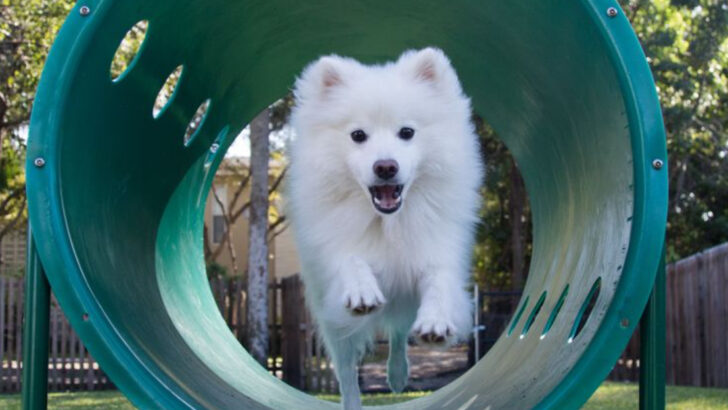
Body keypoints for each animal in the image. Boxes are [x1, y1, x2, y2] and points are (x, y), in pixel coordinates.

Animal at [286, 47, 484, 406]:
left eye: (407, 132)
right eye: (358, 136)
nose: (386, 167)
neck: (388, 222)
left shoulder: (436, 249)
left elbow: (439, 282)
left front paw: (436, 321)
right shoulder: (336, 249)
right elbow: (351, 259)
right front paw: (362, 290)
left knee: (398, 334)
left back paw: (397, 375)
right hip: (335, 328)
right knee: (347, 372)